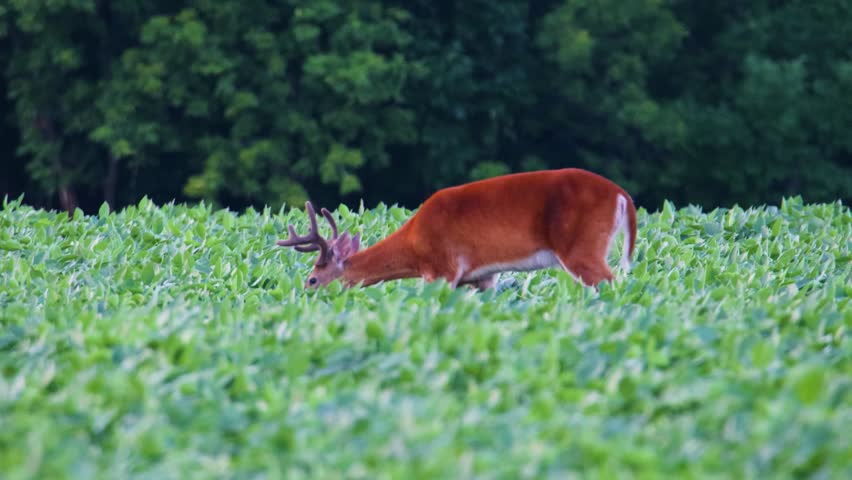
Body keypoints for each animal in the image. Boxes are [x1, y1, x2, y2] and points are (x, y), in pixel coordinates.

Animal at [277, 168, 637, 291]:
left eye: (312, 279)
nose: (303, 295)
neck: (415, 244)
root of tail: (623, 195)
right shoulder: (481, 277)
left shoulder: (442, 268)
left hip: (582, 247)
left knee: (611, 282)